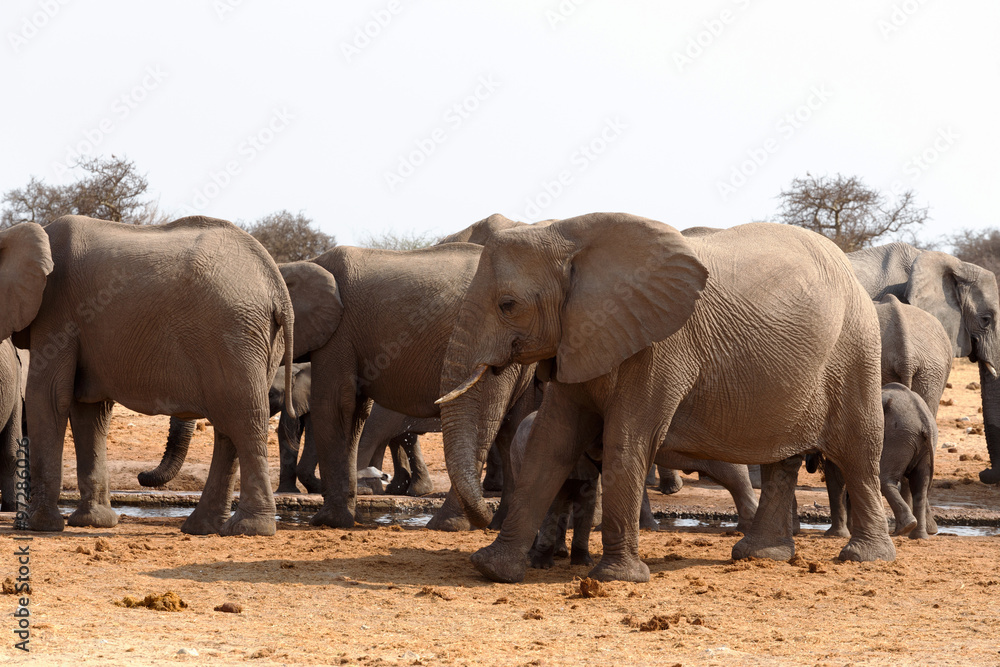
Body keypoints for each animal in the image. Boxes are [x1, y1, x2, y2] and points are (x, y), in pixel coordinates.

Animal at [15, 215, 293, 536]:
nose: (140, 476)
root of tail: (277, 286)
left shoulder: (56, 309)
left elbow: (48, 397)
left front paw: (38, 526)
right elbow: (88, 410)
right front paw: (92, 522)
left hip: (234, 333)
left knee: (244, 419)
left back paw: (248, 528)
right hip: (257, 340)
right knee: (231, 426)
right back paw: (203, 527)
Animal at [279, 221, 536, 530]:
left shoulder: (339, 335)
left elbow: (335, 405)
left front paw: (327, 522)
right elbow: (356, 412)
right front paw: (345, 518)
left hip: (489, 342)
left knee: (480, 422)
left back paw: (448, 525)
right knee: (513, 426)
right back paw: (498, 525)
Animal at [438, 213, 894, 583]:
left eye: (508, 305)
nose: (484, 516)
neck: (570, 234)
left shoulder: (661, 346)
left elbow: (627, 441)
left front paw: (618, 579)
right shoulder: (581, 336)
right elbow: (551, 441)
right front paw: (492, 569)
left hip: (855, 348)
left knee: (859, 451)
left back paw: (864, 557)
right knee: (782, 460)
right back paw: (760, 555)